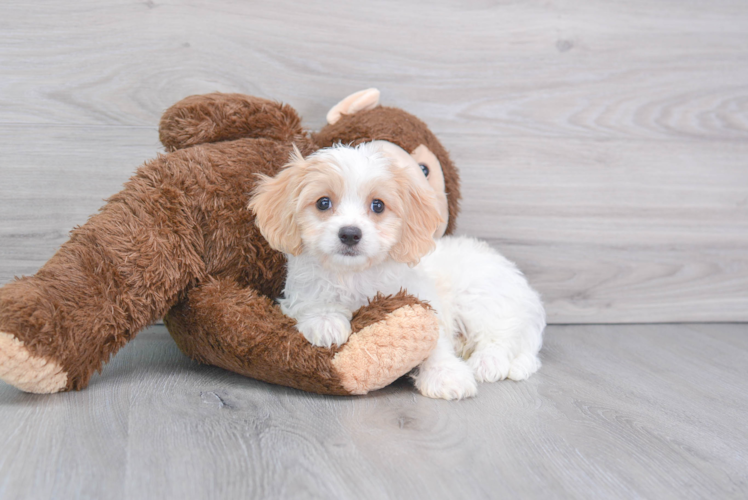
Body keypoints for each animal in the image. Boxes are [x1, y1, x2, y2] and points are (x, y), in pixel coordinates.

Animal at [251, 143, 544, 400]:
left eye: (378, 205)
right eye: (323, 203)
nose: (350, 233)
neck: (355, 275)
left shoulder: (423, 299)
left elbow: (436, 340)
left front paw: (445, 374)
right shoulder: (302, 293)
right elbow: (314, 304)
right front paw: (326, 322)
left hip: (481, 299)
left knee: (501, 337)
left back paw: (487, 362)